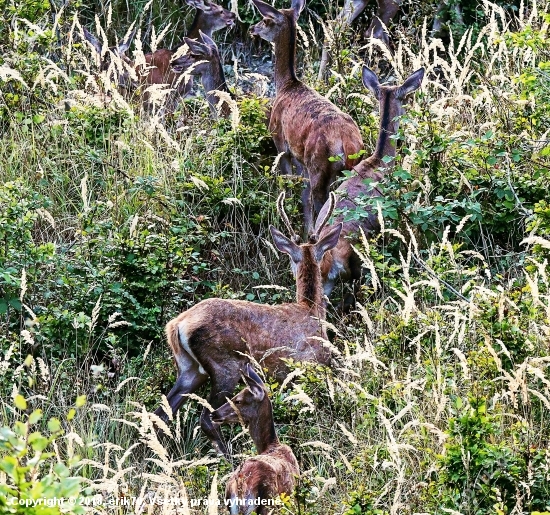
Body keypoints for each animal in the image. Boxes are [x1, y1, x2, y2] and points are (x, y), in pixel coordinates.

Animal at [155, 192, 342, 456]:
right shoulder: (307, 365)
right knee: (206, 417)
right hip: (225, 366)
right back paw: (228, 457)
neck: (311, 311)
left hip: (189, 369)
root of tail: (177, 326)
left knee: (161, 414)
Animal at [251, 0, 366, 234]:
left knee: (323, 204)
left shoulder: (280, 142)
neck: (286, 86)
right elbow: (304, 197)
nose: (252, 29)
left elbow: (287, 183)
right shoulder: (300, 159)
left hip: (319, 166)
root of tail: (348, 143)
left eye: (266, 20)